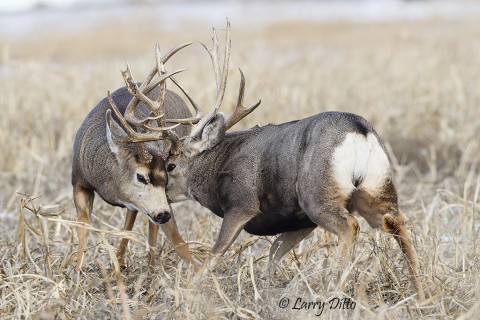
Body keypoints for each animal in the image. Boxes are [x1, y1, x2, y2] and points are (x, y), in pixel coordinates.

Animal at [71, 41, 199, 272]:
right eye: (140, 176)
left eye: (166, 177)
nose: (163, 213)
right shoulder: (78, 180)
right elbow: (83, 226)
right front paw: (77, 272)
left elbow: (175, 239)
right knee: (133, 219)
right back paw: (123, 262)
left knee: (149, 225)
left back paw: (149, 267)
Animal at [154, 22, 424, 300]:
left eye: (170, 165)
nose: (163, 197)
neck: (217, 164)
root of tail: (359, 131)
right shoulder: (298, 221)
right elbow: (274, 253)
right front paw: (266, 289)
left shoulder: (242, 203)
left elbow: (217, 252)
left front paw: (192, 289)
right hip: (376, 187)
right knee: (395, 221)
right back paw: (422, 291)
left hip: (317, 193)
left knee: (349, 226)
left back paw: (336, 290)